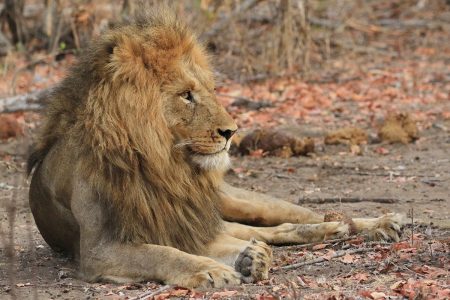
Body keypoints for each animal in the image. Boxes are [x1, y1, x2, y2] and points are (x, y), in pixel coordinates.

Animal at [28, 9, 406, 288]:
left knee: (294, 216)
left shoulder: (187, 227)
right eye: (186, 95)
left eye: (210, 89)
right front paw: (219, 267)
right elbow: (162, 253)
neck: (162, 166)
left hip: (237, 201)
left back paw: (377, 223)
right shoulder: (99, 249)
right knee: (270, 232)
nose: (231, 131)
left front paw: (240, 261)